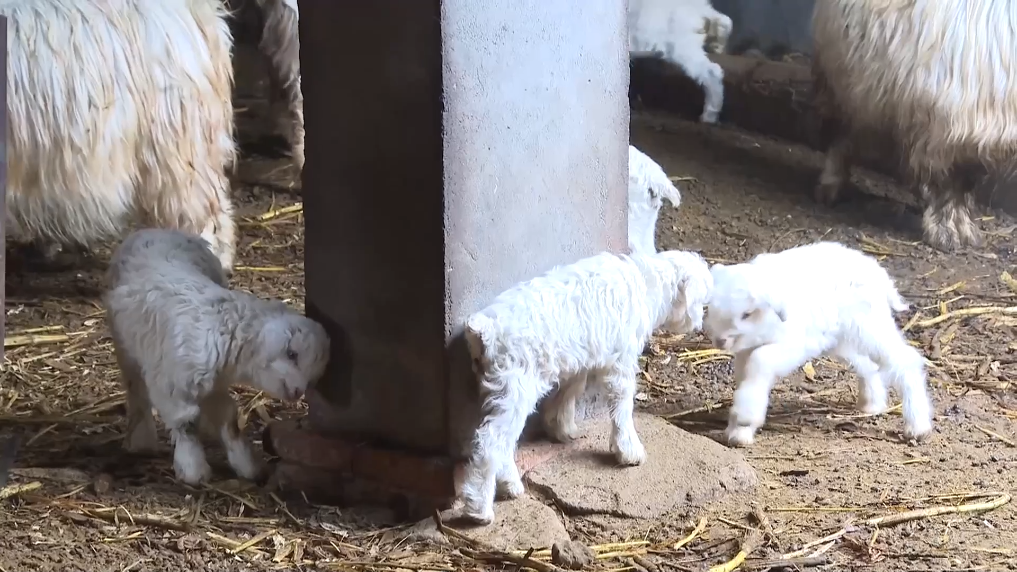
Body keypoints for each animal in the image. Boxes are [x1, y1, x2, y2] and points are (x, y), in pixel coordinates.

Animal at [103, 228, 330, 485]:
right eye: (291, 354)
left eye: (313, 378)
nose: (297, 392)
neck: (225, 334)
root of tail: (155, 230)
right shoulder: (174, 385)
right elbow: (186, 424)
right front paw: (194, 470)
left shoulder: (215, 385)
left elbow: (229, 421)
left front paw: (248, 466)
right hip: (125, 346)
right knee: (136, 388)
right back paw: (141, 441)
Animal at [459, 249, 713, 524]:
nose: (698, 324)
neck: (646, 283)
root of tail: (484, 330)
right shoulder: (622, 359)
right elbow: (622, 403)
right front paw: (629, 450)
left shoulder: (579, 358)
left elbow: (569, 391)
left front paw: (562, 428)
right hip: (515, 385)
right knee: (491, 442)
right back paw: (480, 509)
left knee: (504, 442)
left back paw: (510, 486)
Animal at [703, 241, 934, 448]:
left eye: (747, 314)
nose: (720, 341)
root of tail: (878, 272)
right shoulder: (747, 350)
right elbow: (747, 378)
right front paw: (738, 430)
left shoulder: (791, 343)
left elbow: (760, 362)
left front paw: (743, 423)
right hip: (841, 339)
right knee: (867, 365)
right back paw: (871, 404)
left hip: (869, 327)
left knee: (905, 361)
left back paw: (918, 427)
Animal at [810, 0, 1017, 252]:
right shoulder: (944, 128)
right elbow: (946, 183)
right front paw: (946, 232)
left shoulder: (972, 137)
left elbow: (965, 182)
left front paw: (964, 230)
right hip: (843, 81)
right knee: (840, 136)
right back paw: (830, 186)